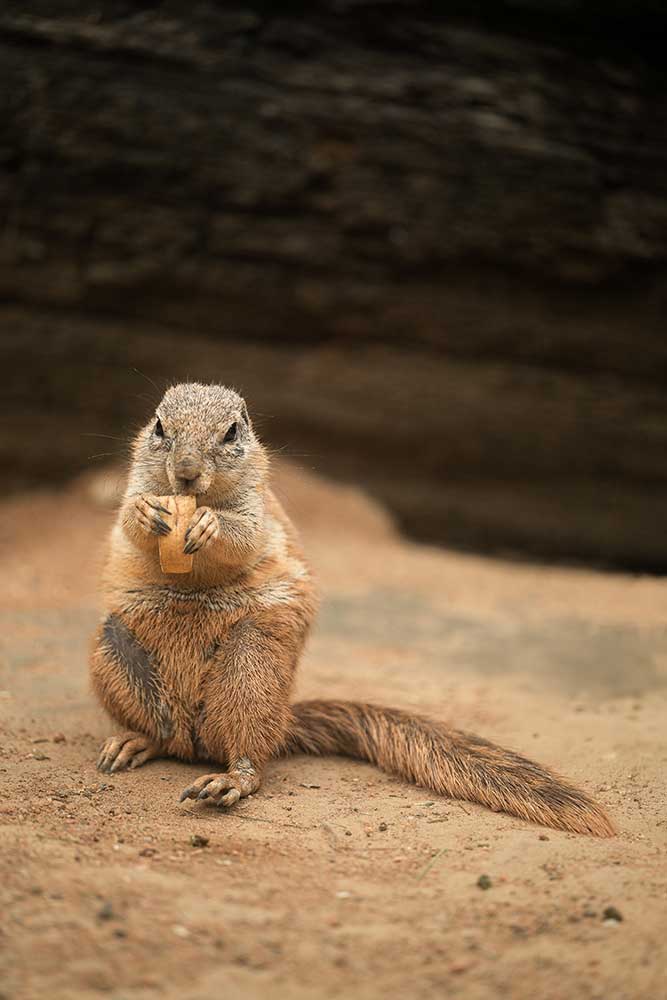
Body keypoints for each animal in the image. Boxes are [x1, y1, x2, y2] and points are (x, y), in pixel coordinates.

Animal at [90, 382, 614, 836]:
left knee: (248, 755)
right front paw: (147, 514)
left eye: (232, 432)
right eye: (160, 425)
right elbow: (129, 520)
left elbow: (243, 536)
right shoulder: (135, 488)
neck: (196, 499)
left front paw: (209, 525)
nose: (186, 472)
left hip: (250, 669)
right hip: (113, 653)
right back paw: (133, 742)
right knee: (164, 736)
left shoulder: (260, 511)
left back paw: (229, 779)